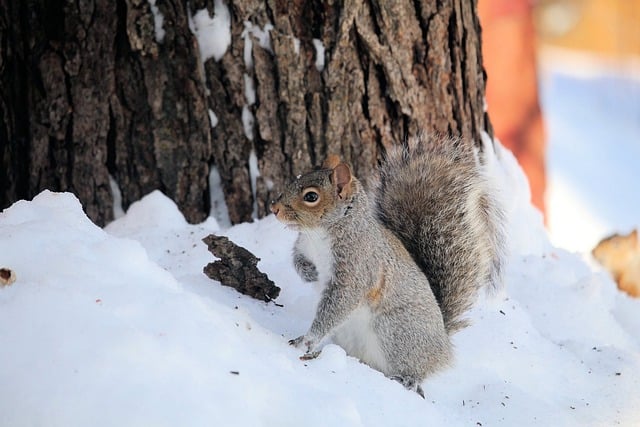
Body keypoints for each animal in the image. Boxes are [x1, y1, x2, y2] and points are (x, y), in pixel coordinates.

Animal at [270, 135, 504, 398]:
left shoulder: (356, 267)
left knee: (417, 370)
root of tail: (443, 344)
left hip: (395, 331)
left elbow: (340, 303)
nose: (274, 208)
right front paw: (309, 273)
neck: (320, 234)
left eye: (311, 197)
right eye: (296, 178)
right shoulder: (303, 246)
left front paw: (307, 339)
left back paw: (408, 380)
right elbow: (296, 259)